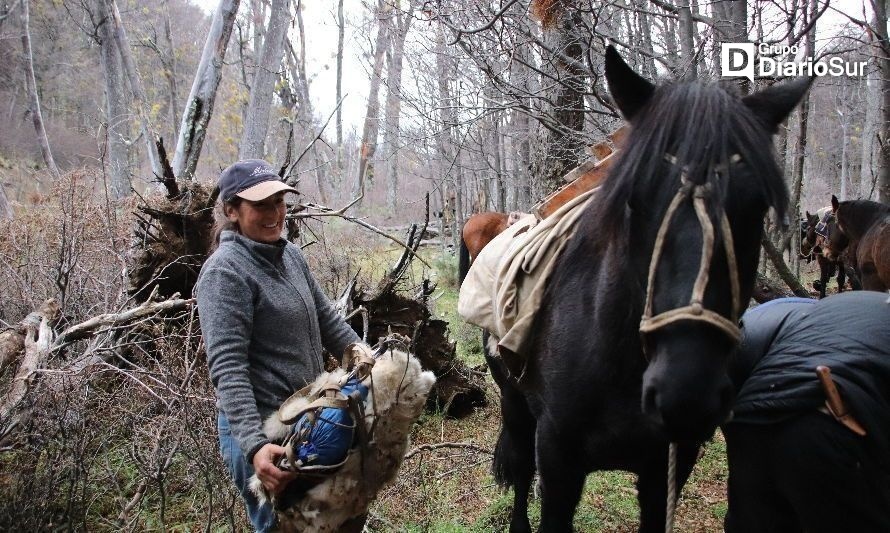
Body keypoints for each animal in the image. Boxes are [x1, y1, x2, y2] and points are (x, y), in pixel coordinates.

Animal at [490, 46, 808, 532]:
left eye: (757, 207)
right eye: (633, 201)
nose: (686, 393)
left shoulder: (668, 469)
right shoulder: (558, 461)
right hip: (515, 403)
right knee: (522, 467)